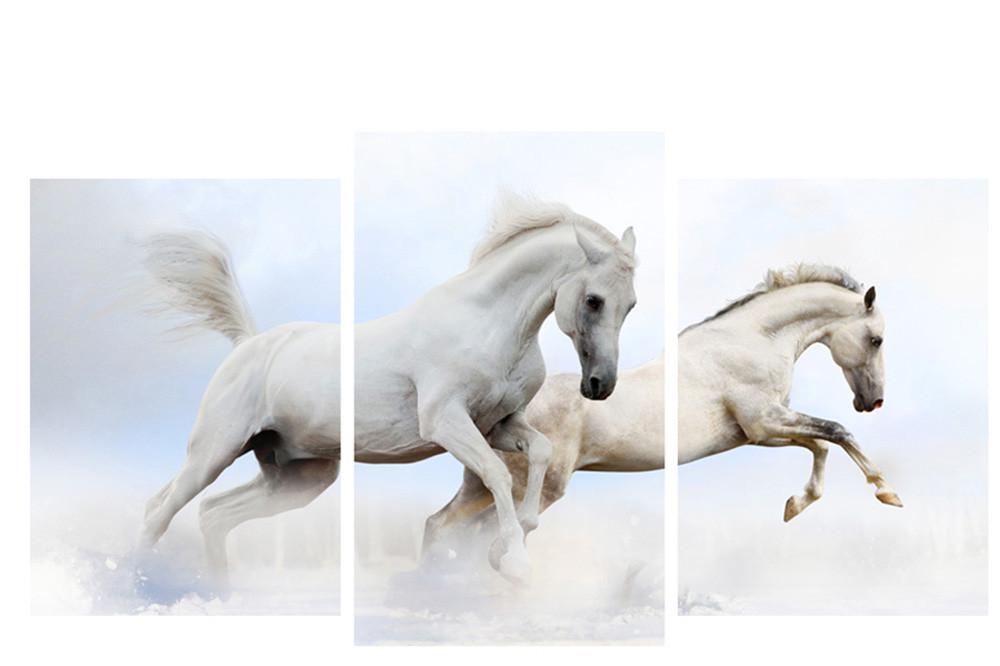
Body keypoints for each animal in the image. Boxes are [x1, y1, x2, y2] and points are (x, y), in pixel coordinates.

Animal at [138, 194, 638, 586]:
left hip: (299, 476)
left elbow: (539, 452)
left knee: (213, 514)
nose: (600, 385)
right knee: (158, 512)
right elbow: (497, 474)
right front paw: (514, 562)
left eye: (631, 304)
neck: (490, 325)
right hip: (214, 452)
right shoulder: (446, 422)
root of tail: (247, 344)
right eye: (594, 300)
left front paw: (513, 543)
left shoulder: (498, 425)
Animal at [679, 264, 902, 521]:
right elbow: (838, 431)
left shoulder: (756, 433)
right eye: (877, 340)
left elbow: (821, 443)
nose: (876, 400)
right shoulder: (763, 421)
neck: (749, 342)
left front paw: (796, 504)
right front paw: (887, 491)